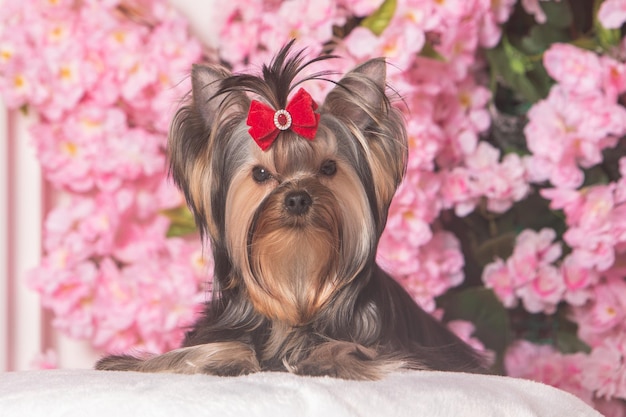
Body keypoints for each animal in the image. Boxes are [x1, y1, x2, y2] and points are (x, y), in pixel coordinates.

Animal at [97, 43, 486, 380]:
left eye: (328, 168)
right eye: (260, 174)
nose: (298, 198)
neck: (297, 275)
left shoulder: (400, 351)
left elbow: (354, 349)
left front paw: (319, 355)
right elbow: (198, 351)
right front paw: (222, 357)